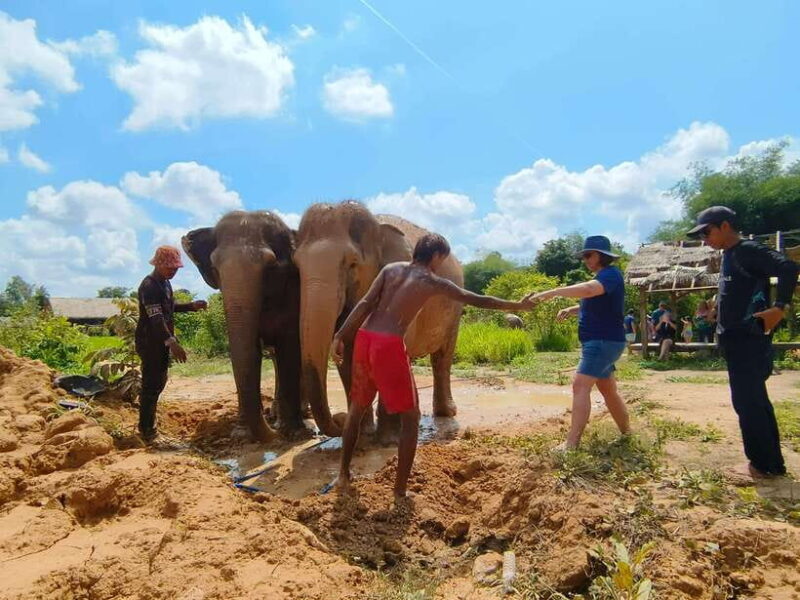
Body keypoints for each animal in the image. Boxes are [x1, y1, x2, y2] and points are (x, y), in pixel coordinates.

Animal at [182, 210, 303, 442]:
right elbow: (250, 351)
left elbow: (290, 347)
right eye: (215, 268)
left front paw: (293, 432)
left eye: (270, 266)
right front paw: (242, 434)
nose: (275, 434)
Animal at [293, 200, 464, 438]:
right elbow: (349, 355)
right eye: (297, 266)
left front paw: (387, 439)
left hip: (454, 312)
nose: (339, 418)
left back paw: (446, 413)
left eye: (352, 264)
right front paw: (362, 434)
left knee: (442, 357)